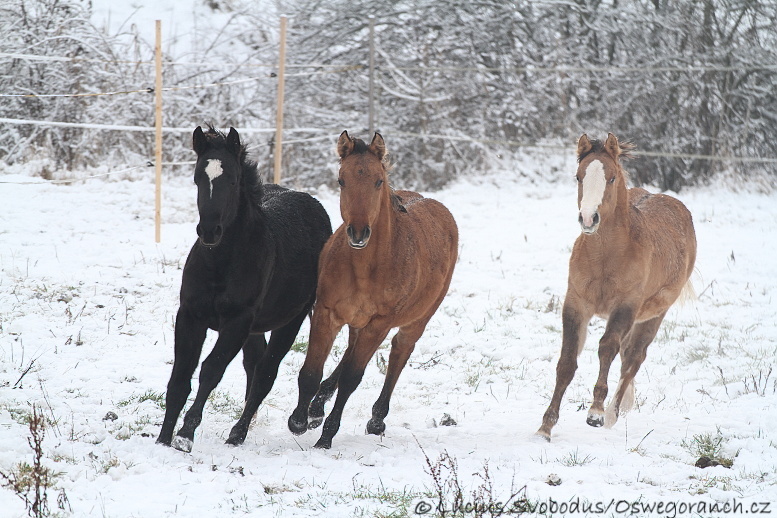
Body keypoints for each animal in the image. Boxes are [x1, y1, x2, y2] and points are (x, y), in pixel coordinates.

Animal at [158, 127, 330, 456]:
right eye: (198, 178)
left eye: (233, 180)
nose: (209, 231)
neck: (221, 263)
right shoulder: (190, 316)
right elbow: (180, 377)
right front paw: (162, 438)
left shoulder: (237, 322)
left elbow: (211, 371)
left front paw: (185, 436)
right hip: (256, 327)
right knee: (254, 364)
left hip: (291, 319)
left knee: (266, 372)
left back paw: (239, 432)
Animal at [286, 132, 458, 448]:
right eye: (341, 180)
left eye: (379, 181)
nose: (358, 232)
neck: (367, 268)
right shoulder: (327, 312)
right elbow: (311, 372)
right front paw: (300, 420)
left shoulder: (380, 323)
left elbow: (352, 378)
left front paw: (326, 437)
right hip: (357, 322)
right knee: (350, 352)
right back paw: (318, 406)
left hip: (416, 320)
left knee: (399, 353)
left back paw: (377, 420)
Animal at [536, 134, 696, 442]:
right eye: (578, 176)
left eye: (611, 178)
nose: (588, 219)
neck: (607, 256)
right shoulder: (576, 303)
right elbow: (567, 362)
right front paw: (545, 427)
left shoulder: (625, 306)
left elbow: (607, 348)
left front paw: (596, 413)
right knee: (626, 356)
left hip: (654, 314)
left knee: (633, 358)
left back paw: (613, 414)